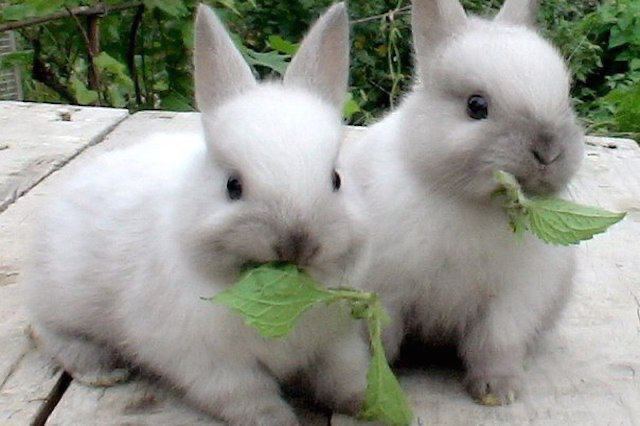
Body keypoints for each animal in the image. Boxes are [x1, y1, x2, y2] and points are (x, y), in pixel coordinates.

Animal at [23, 2, 370, 422]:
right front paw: (278, 421)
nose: (297, 243)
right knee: (43, 330)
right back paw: (102, 371)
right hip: (61, 299)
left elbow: (345, 374)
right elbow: (250, 397)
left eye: (336, 179)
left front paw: (364, 403)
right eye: (232, 186)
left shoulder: (335, 341)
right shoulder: (213, 364)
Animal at [344, 0, 584, 406]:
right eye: (476, 106)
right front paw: (376, 389)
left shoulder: (512, 303)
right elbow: (382, 343)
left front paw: (498, 392)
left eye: (566, 98)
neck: (472, 203)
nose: (548, 151)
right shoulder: (387, 293)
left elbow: (495, 345)